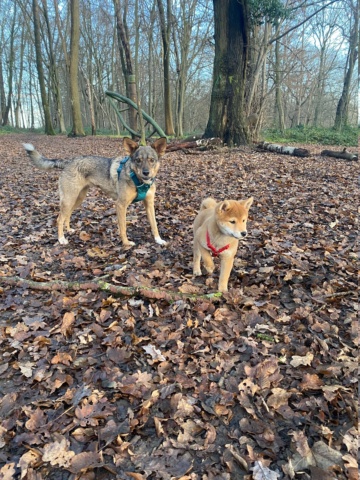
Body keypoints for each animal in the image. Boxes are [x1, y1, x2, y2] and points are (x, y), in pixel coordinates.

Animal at [23, 137, 167, 246]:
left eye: (152, 160)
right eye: (138, 160)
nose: (146, 173)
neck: (138, 180)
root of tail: (69, 161)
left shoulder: (149, 204)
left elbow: (154, 224)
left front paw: (158, 240)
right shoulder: (121, 205)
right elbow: (123, 228)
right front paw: (126, 243)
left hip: (78, 198)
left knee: (67, 216)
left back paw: (68, 230)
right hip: (69, 199)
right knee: (59, 219)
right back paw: (61, 239)